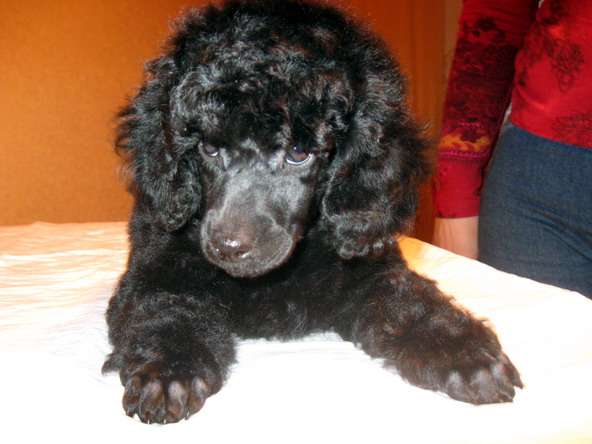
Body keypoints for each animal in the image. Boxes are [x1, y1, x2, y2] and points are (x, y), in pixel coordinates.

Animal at [104, 0, 522, 424]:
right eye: (208, 148)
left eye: (298, 154)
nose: (229, 248)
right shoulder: (156, 264)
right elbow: (165, 304)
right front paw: (169, 368)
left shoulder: (368, 265)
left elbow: (407, 302)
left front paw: (462, 351)